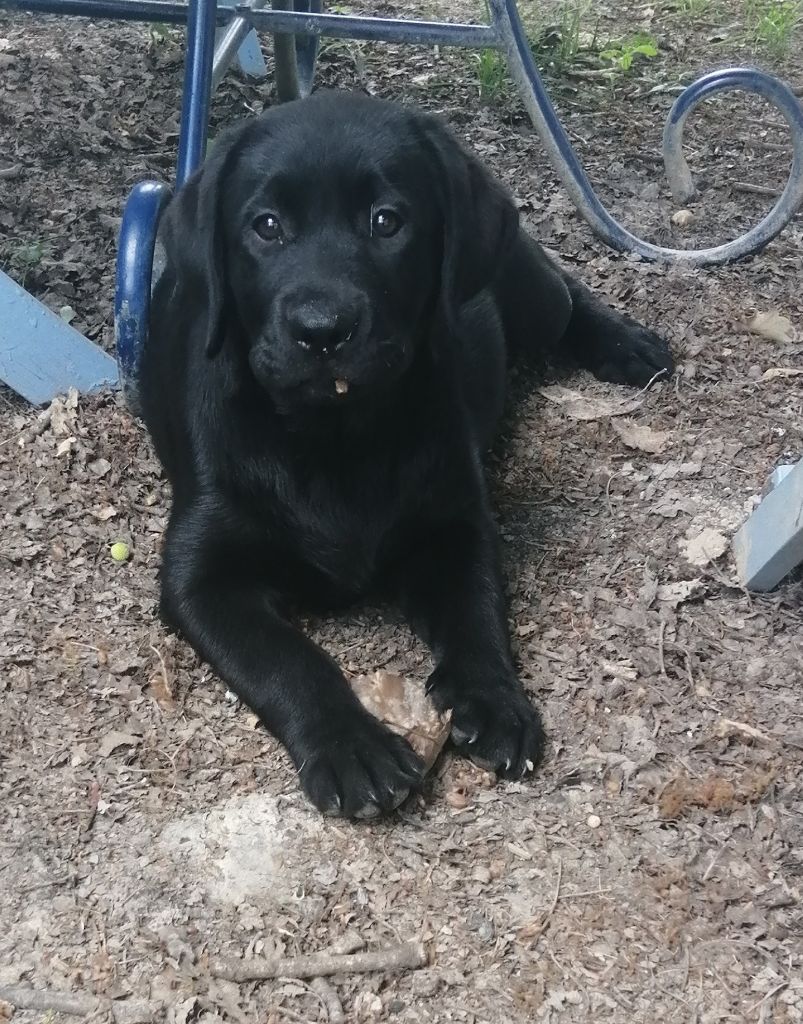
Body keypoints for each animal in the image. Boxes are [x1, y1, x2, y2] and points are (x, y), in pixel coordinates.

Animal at [142, 92, 671, 819]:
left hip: (524, 288)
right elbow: (286, 659)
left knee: (566, 295)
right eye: (266, 226)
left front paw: (494, 700)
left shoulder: (455, 522)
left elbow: (475, 610)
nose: (322, 331)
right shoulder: (199, 576)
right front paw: (351, 747)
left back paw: (626, 345)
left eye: (386, 222)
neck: (335, 436)